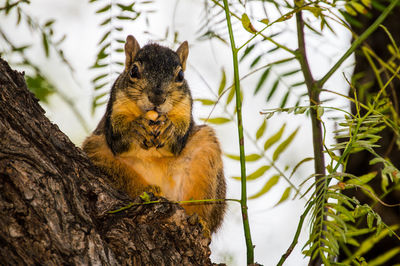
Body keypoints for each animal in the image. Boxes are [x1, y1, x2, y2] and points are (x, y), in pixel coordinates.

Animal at [82, 34, 225, 233]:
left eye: (180, 76)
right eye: (133, 71)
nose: (157, 98)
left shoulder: (185, 106)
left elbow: (178, 140)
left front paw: (169, 129)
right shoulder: (116, 105)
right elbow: (118, 138)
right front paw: (135, 128)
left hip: (205, 153)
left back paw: (200, 221)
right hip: (97, 150)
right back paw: (149, 190)